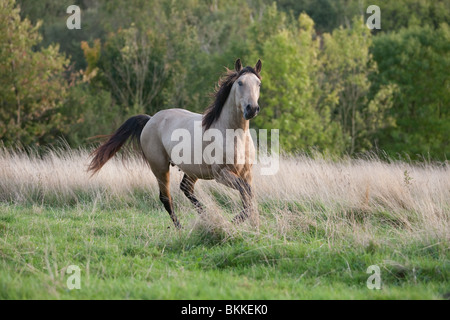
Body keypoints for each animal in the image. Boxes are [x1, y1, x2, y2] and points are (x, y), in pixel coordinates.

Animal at [88, 58, 262, 229]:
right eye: (240, 83)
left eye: (258, 84)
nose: (251, 109)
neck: (233, 135)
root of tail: (150, 120)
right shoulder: (221, 174)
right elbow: (246, 192)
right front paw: (233, 222)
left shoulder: (247, 174)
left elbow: (249, 196)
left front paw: (253, 226)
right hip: (160, 168)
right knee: (166, 197)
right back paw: (180, 228)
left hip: (192, 170)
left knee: (186, 189)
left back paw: (206, 218)